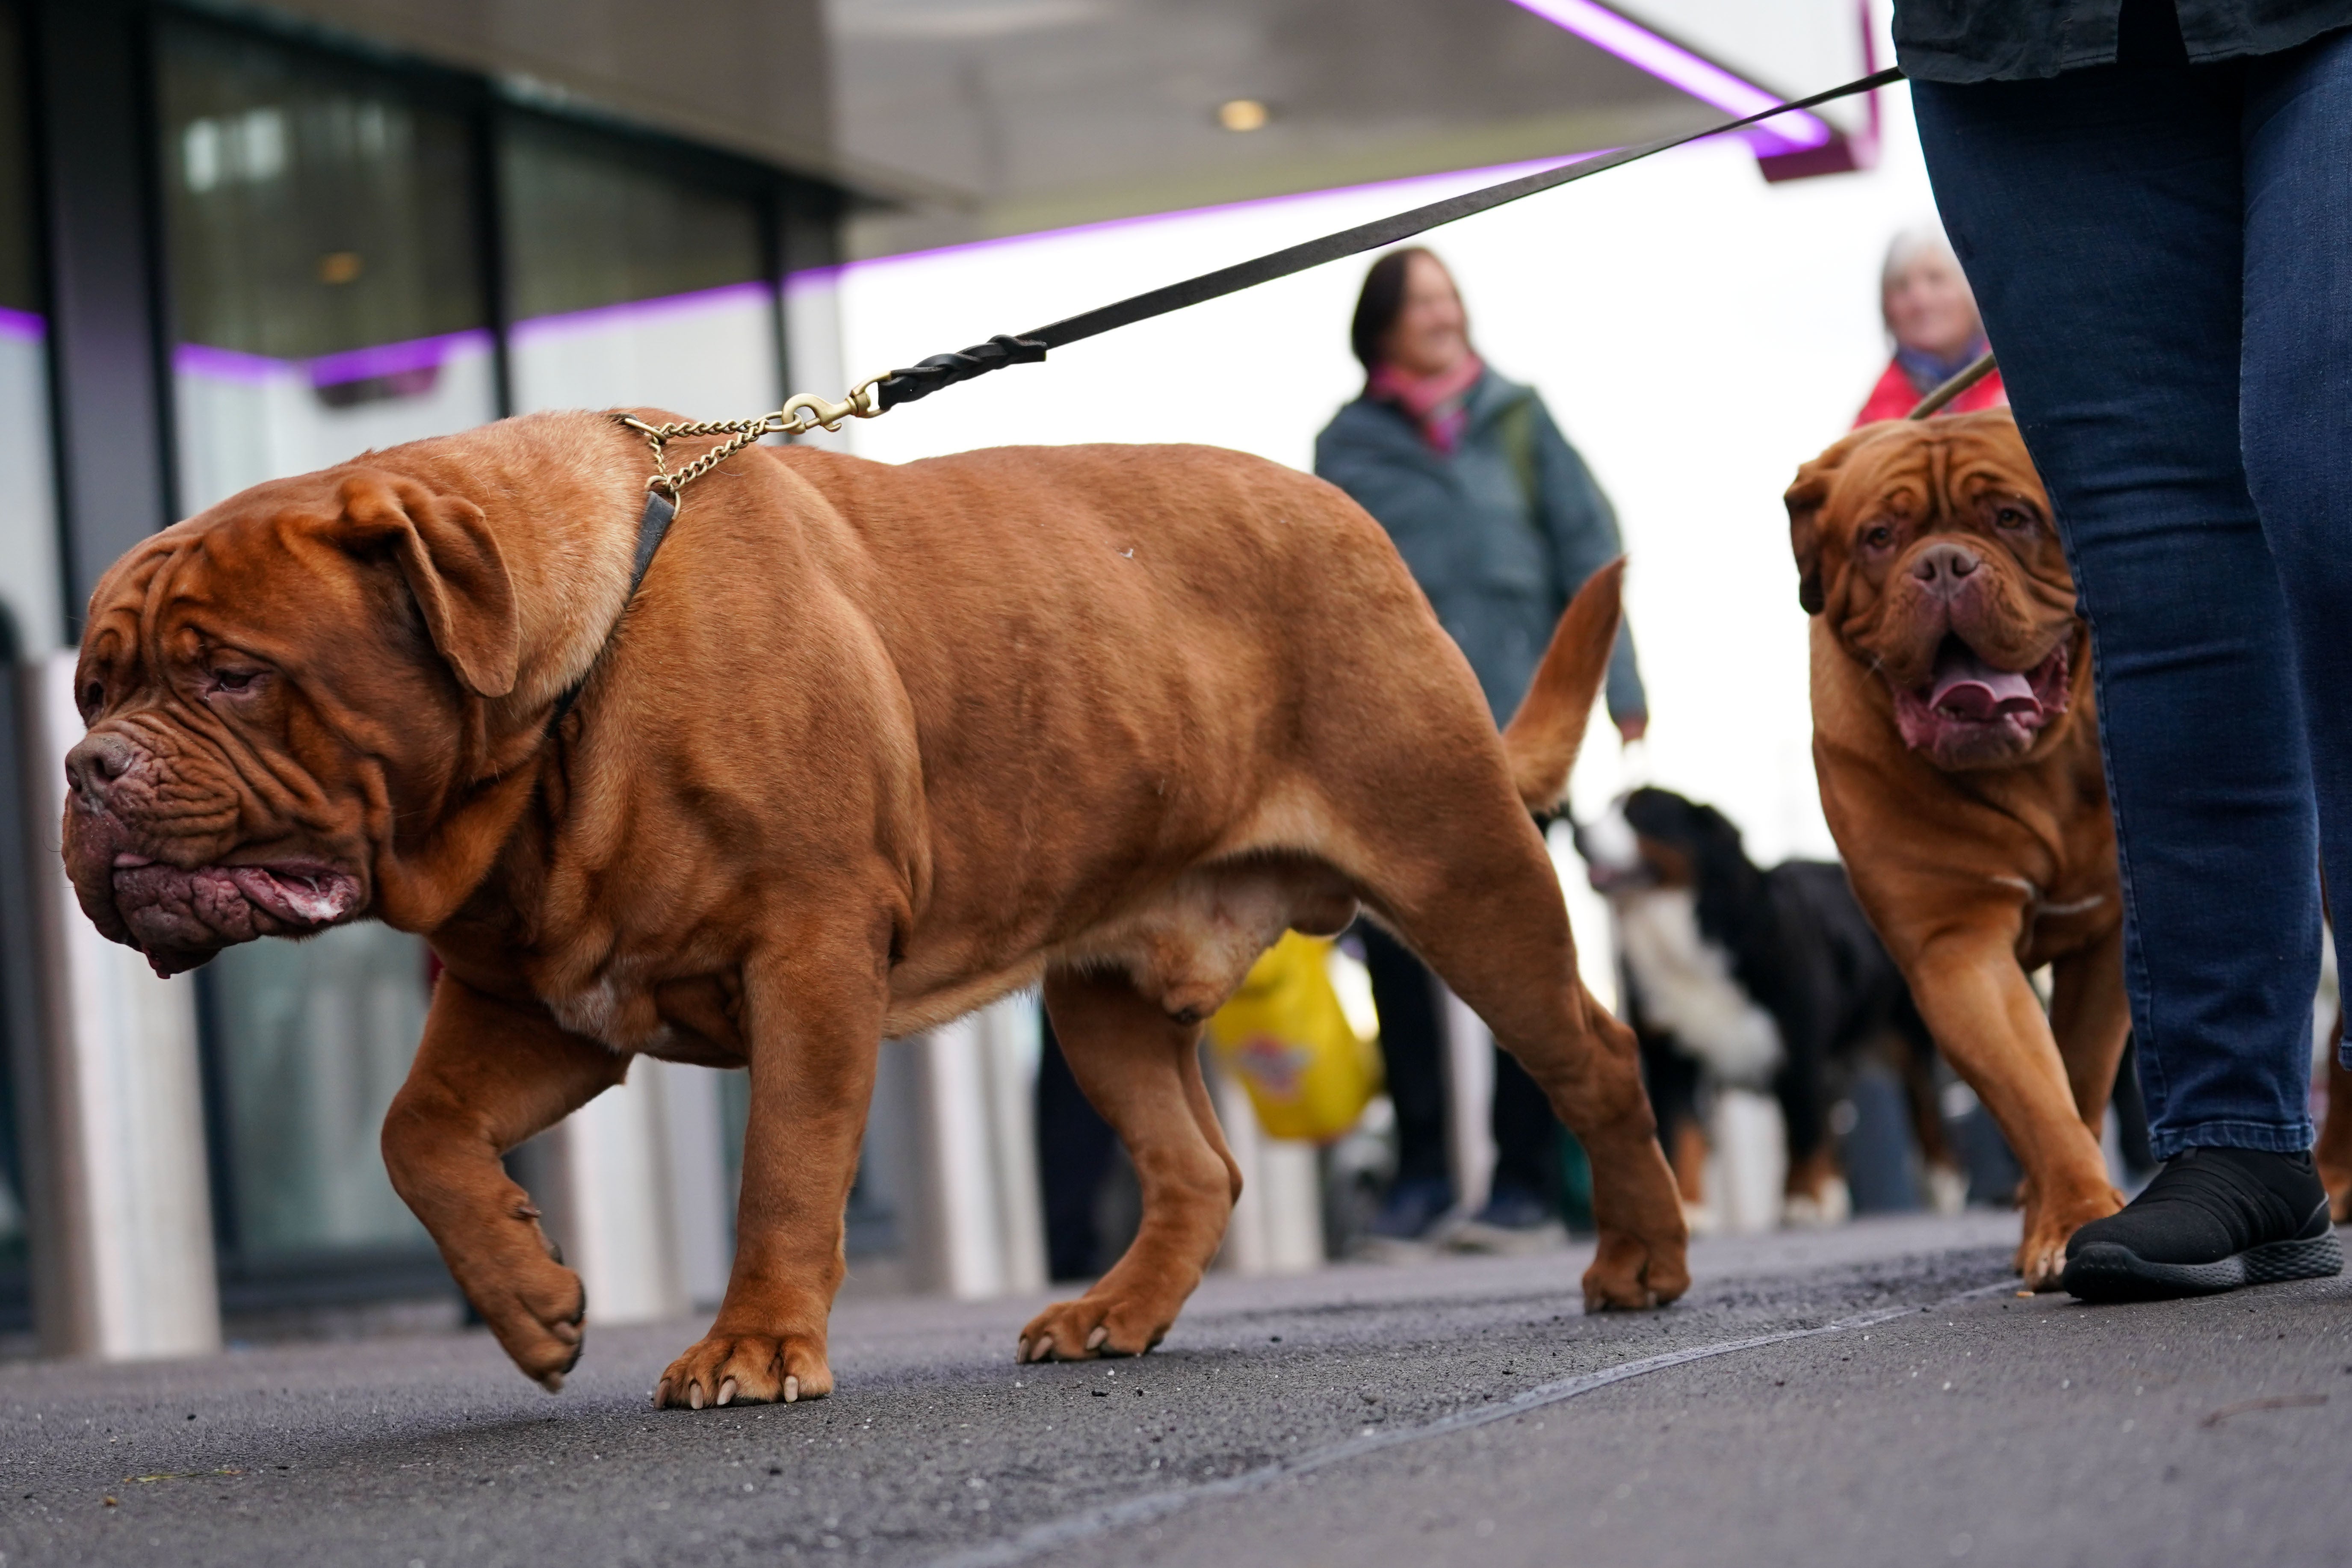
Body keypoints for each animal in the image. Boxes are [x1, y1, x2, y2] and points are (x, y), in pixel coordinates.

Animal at [55, 411, 1684, 1401]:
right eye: (90, 687)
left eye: (231, 675)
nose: (86, 767)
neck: (564, 704)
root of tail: (1356, 517)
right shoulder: (542, 1002)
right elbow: (418, 1134)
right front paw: (532, 1299)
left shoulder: (810, 952)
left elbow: (783, 1168)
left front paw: (755, 1343)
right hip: (1100, 995)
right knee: (1199, 1164)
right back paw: (1116, 1312)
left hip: (1461, 871)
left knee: (1594, 1057)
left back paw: (1642, 1262)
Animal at [1581, 785, 1966, 1222]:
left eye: (1639, 815)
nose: (1577, 833)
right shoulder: (1670, 1057)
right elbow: (1683, 1133)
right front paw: (1690, 1208)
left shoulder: (1799, 1046)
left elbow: (1802, 1129)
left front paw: (1802, 1199)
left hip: (1910, 1039)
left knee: (1927, 1113)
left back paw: (1943, 1187)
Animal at [1778, 409, 2136, 1288]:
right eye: (1879, 535)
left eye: (2011, 516)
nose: (1943, 564)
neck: (2030, 772)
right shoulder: (1957, 947)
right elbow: (2035, 1092)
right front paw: (2065, 1217)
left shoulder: (2107, 938)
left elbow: (2075, 1079)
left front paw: (2065, 1217)